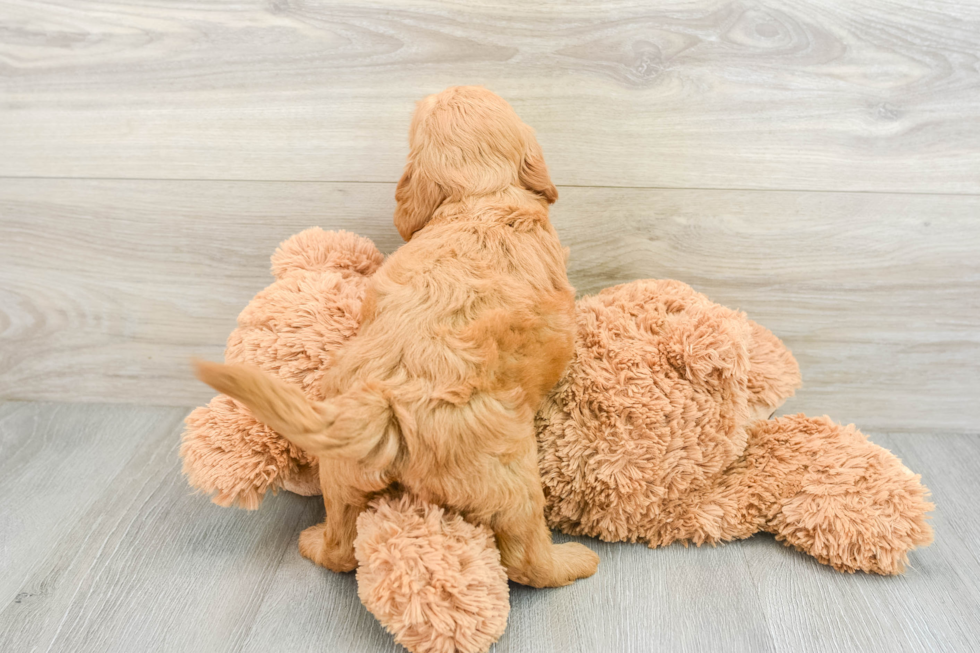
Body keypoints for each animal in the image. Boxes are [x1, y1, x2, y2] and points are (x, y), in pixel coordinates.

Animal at [194, 84, 596, 588]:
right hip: (511, 478)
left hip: (342, 472)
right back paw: (574, 561)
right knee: (527, 559)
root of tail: (386, 402)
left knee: (341, 544)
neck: (480, 195)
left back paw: (313, 542)